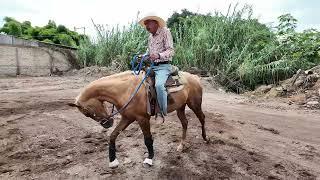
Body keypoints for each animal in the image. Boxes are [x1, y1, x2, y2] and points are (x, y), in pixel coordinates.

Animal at [68, 70, 208, 167]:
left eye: (87, 112)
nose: (107, 124)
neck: (125, 90)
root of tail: (195, 77)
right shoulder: (127, 118)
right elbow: (113, 136)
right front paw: (113, 161)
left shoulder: (142, 119)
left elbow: (148, 140)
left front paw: (149, 159)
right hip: (180, 107)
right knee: (185, 123)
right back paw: (181, 146)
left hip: (194, 104)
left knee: (202, 118)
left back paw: (206, 138)